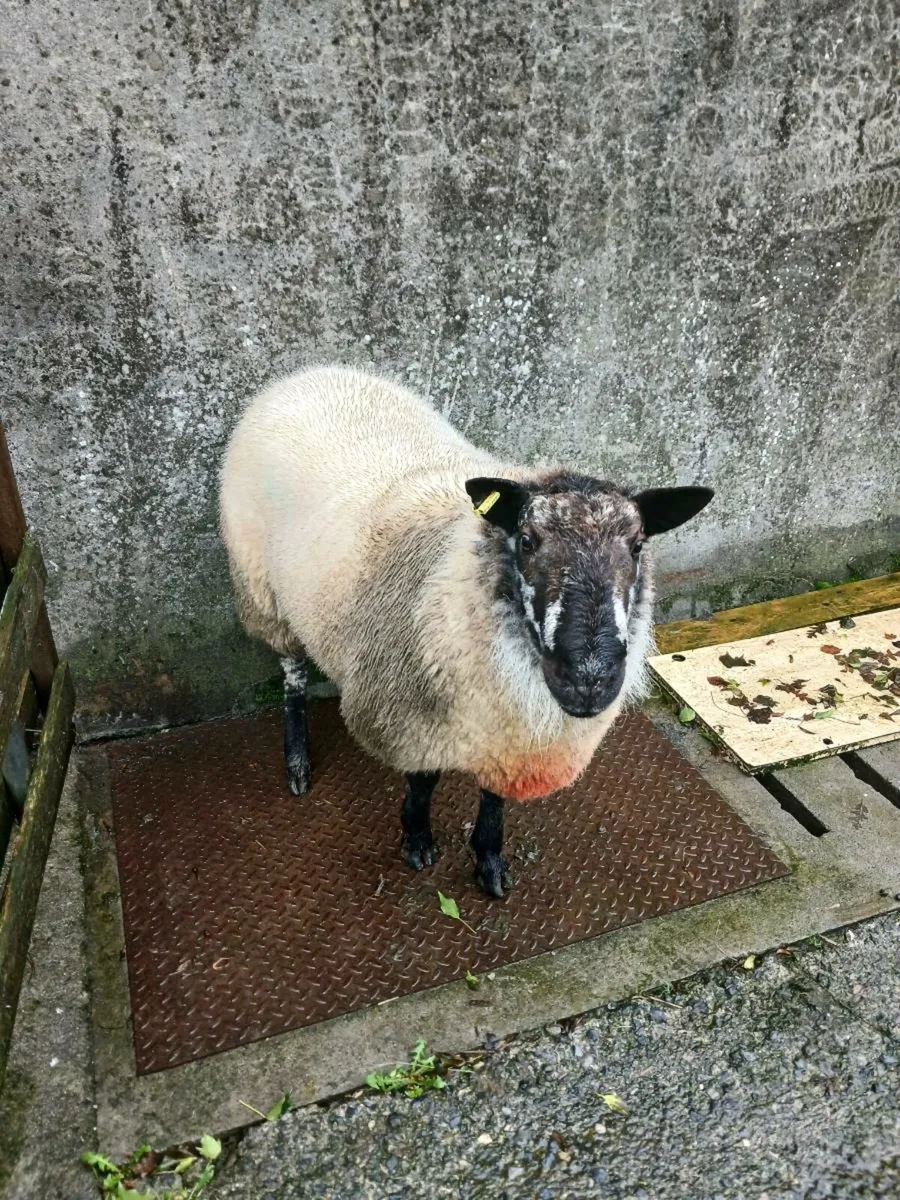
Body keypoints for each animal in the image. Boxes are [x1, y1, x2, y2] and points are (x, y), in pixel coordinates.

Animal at [219, 366, 713, 897]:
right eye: (526, 540)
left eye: (638, 545)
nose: (590, 679)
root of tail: (310, 373)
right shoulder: (409, 715)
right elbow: (424, 782)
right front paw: (417, 839)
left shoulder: (506, 733)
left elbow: (493, 798)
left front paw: (489, 860)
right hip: (261, 588)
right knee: (291, 672)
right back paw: (297, 761)